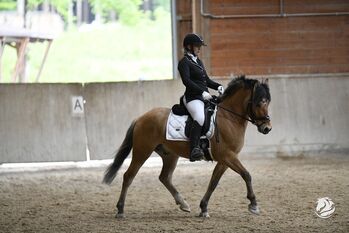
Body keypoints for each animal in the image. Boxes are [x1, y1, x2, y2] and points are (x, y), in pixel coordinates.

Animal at [102, 75, 270, 218]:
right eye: (259, 102)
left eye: (268, 102)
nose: (267, 128)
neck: (229, 118)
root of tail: (141, 118)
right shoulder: (227, 156)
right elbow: (246, 175)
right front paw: (253, 205)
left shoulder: (225, 159)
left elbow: (213, 182)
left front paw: (203, 208)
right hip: (142, 151)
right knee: (129, 176)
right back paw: (120, 210)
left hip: (169, 155)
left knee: (164, 177)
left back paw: (183, 204)